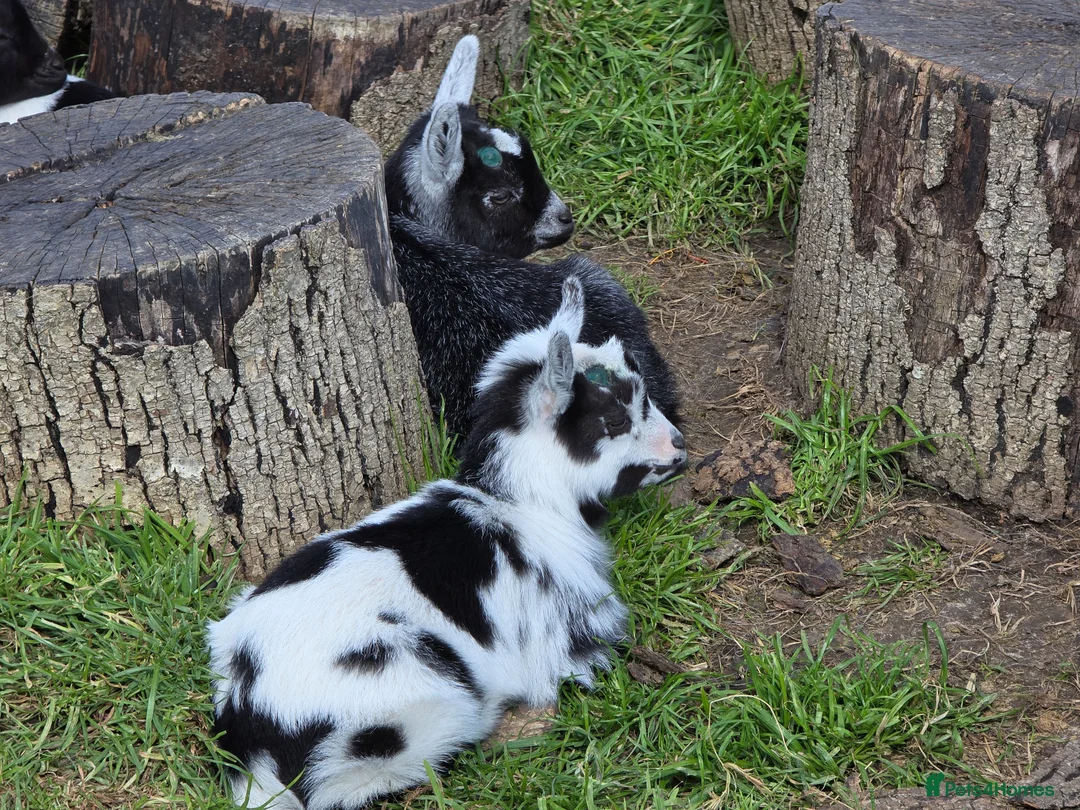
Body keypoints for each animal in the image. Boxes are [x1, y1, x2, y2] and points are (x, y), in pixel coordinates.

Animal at [207, 276, 687, 809]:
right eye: (616, 420)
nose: (679, 447)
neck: (519, 506)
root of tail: (251, 722)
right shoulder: (565, 634)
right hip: (414, 711)